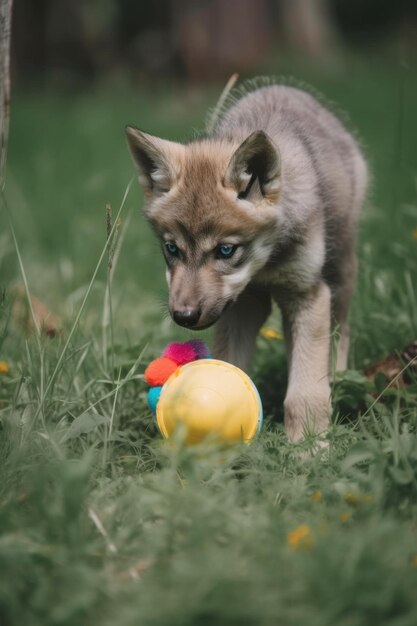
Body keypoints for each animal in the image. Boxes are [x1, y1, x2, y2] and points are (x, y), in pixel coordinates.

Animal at [125, 81, 366, 438]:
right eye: (172, 249)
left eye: (226, 250)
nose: (183, 316)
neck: (264, 266)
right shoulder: (241, 306)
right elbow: (230, 365)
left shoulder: (308, 293)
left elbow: (306, 389)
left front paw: (309, 445)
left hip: (340, 273)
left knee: (340, 333)